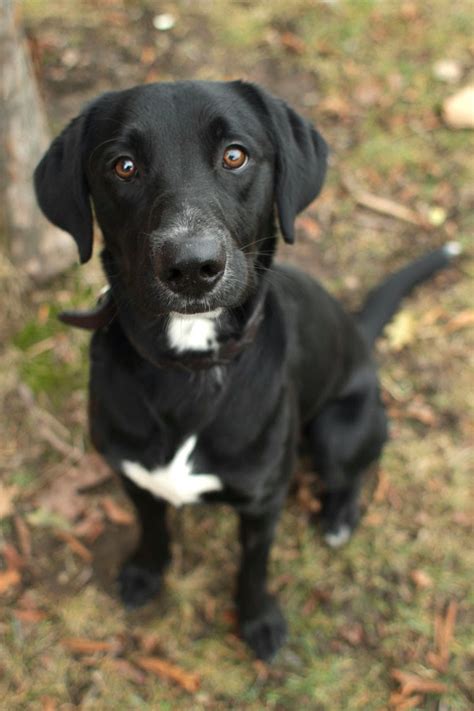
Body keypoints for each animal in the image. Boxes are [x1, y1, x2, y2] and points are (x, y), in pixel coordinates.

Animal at [34, 82, 460, 660]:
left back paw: (338, 519)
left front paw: (257, 621)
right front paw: (147, 571)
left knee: (353, 471)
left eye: (234, 155)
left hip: (338, 430)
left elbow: (253, 569)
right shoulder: (132, 474)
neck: (191, 362)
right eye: (123, 166)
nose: (192, 266)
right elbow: (152, 526)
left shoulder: (262, 505)